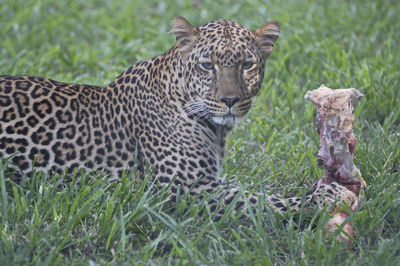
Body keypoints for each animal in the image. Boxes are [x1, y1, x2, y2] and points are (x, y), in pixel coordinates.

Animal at [0, 16, 356, 219]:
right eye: (207, 65)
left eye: (247, 65)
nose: (229, 100)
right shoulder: (186, 188)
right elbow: (262, 200)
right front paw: (328, 196)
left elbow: (258, 189)